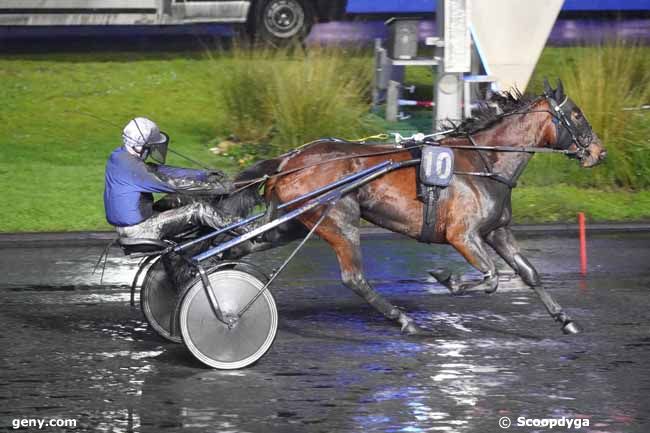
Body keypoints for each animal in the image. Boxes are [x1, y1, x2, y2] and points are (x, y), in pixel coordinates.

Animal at [230, 79, 604, 336]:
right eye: (576, 114)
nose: (599, 152)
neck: (484, 162)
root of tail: (289, 160)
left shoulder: (497, 231)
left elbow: (529, 273)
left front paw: (565, 320)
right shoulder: (462, 236)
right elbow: (492, 278)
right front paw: (447, 279)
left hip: (291, 224)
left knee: (245, 244)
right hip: (339, 220)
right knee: (354, 278)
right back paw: (403, 319)